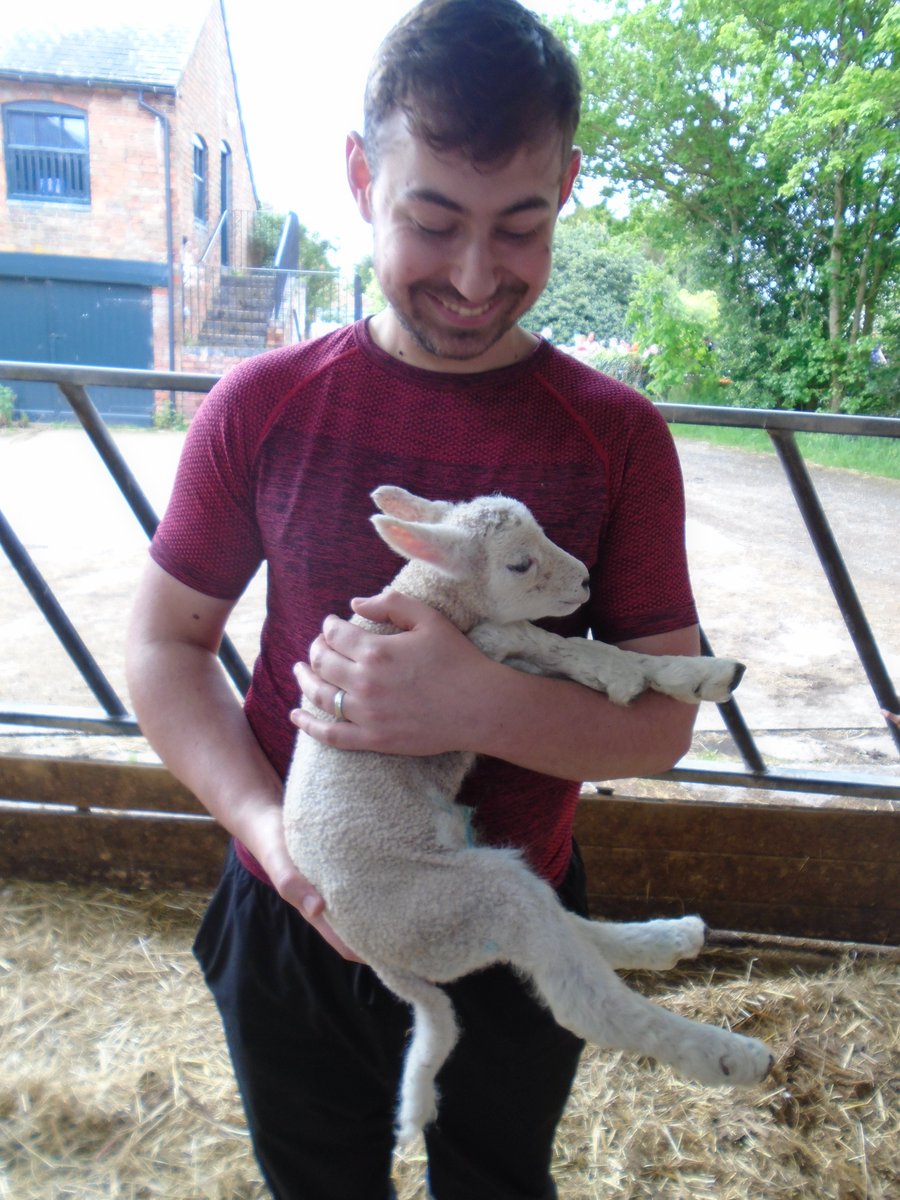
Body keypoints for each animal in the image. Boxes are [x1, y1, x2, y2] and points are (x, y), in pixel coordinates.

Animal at [283, 486, 773, 1146]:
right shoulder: (476, 649)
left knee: (566, 930)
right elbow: (537, 636)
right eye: (518, 563)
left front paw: (695, 673)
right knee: (581, 998)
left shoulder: (498, 662)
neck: (425, 599)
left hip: (470, 898)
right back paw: (731, 1055)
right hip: (457, 899)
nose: (586, 580)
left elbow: (562, 648)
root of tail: (385, 961)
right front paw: (626, 674)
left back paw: (670, 938)